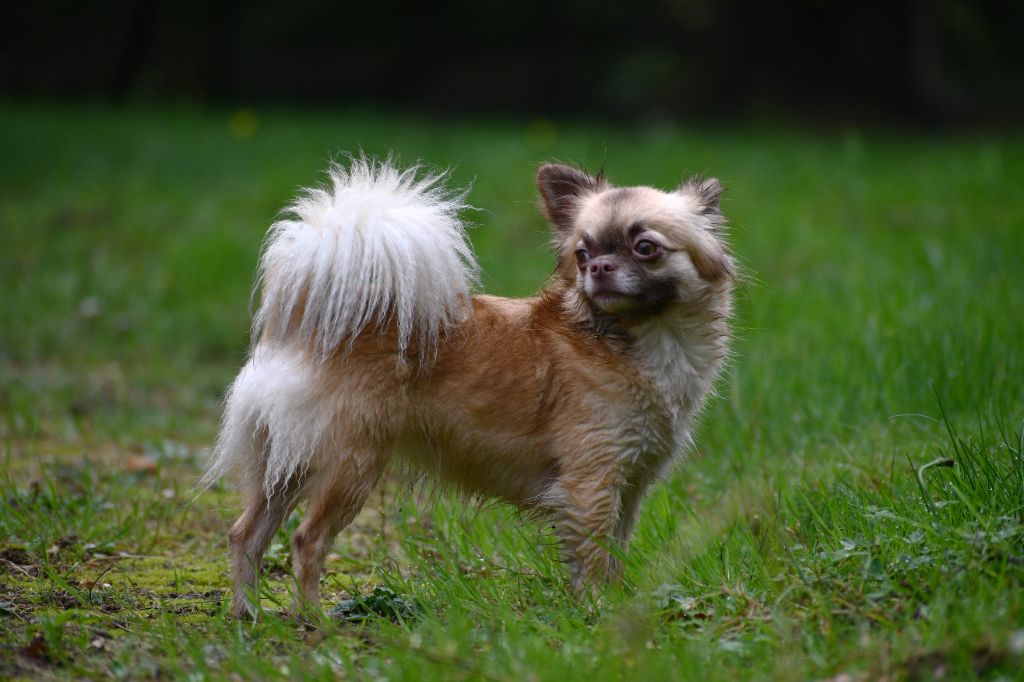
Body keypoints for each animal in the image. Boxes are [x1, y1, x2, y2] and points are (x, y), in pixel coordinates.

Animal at [205, 156, 737, 614]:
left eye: (646, 247)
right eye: (582, 253)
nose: (598, 267)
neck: (628, 340)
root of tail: (302, 321)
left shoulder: (628, 488)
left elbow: (615, 557)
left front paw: (616, 605)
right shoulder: (591, 487)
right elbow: (592, 560)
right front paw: (595, 613)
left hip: (284, 466)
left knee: (246, 535)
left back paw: (246, 616)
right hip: (351, 466)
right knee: (307, 541)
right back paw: (315, 622)